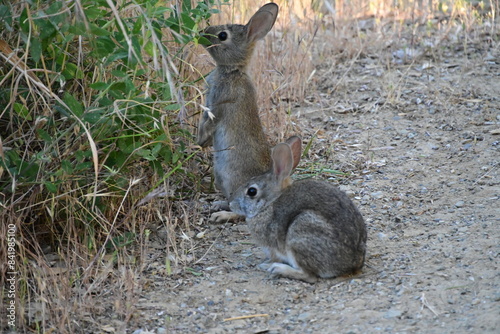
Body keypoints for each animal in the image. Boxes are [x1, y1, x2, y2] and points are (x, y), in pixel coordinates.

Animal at [195, 3, 280, 222]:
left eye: (223, 35)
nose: (201, 33)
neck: (232, 70)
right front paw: (202, 143)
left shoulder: (220, 105)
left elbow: (211, 122)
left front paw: (201, 141)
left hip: (234, 180)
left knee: (242, 211)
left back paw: (221, 215)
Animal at [230, 136, 368, 282]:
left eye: (252, 191)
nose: (231, 204)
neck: (269, 204)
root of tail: (353, 262)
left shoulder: (272, 246)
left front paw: (265, 264)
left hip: (300, 233)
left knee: (309, 276)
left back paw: (278, 269)